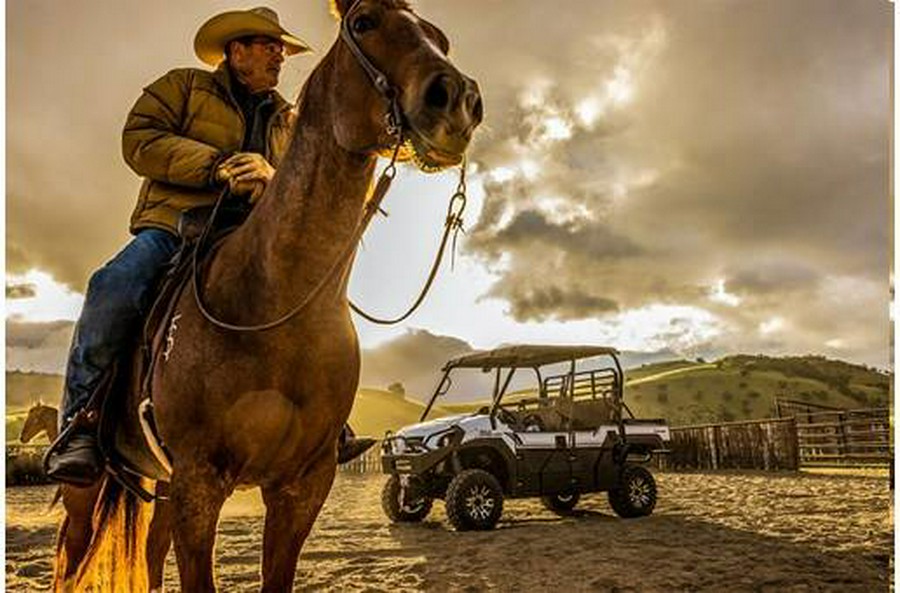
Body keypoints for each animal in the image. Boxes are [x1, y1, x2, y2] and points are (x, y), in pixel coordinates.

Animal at [53, 0, 482, 588]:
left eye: (440, 37)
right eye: (365, 22)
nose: (458, 99)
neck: (275, 300)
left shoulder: (301, 487)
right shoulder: (199, 482)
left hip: (162, 486)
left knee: (153, 552)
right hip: (91, 487)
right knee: (73, 554)